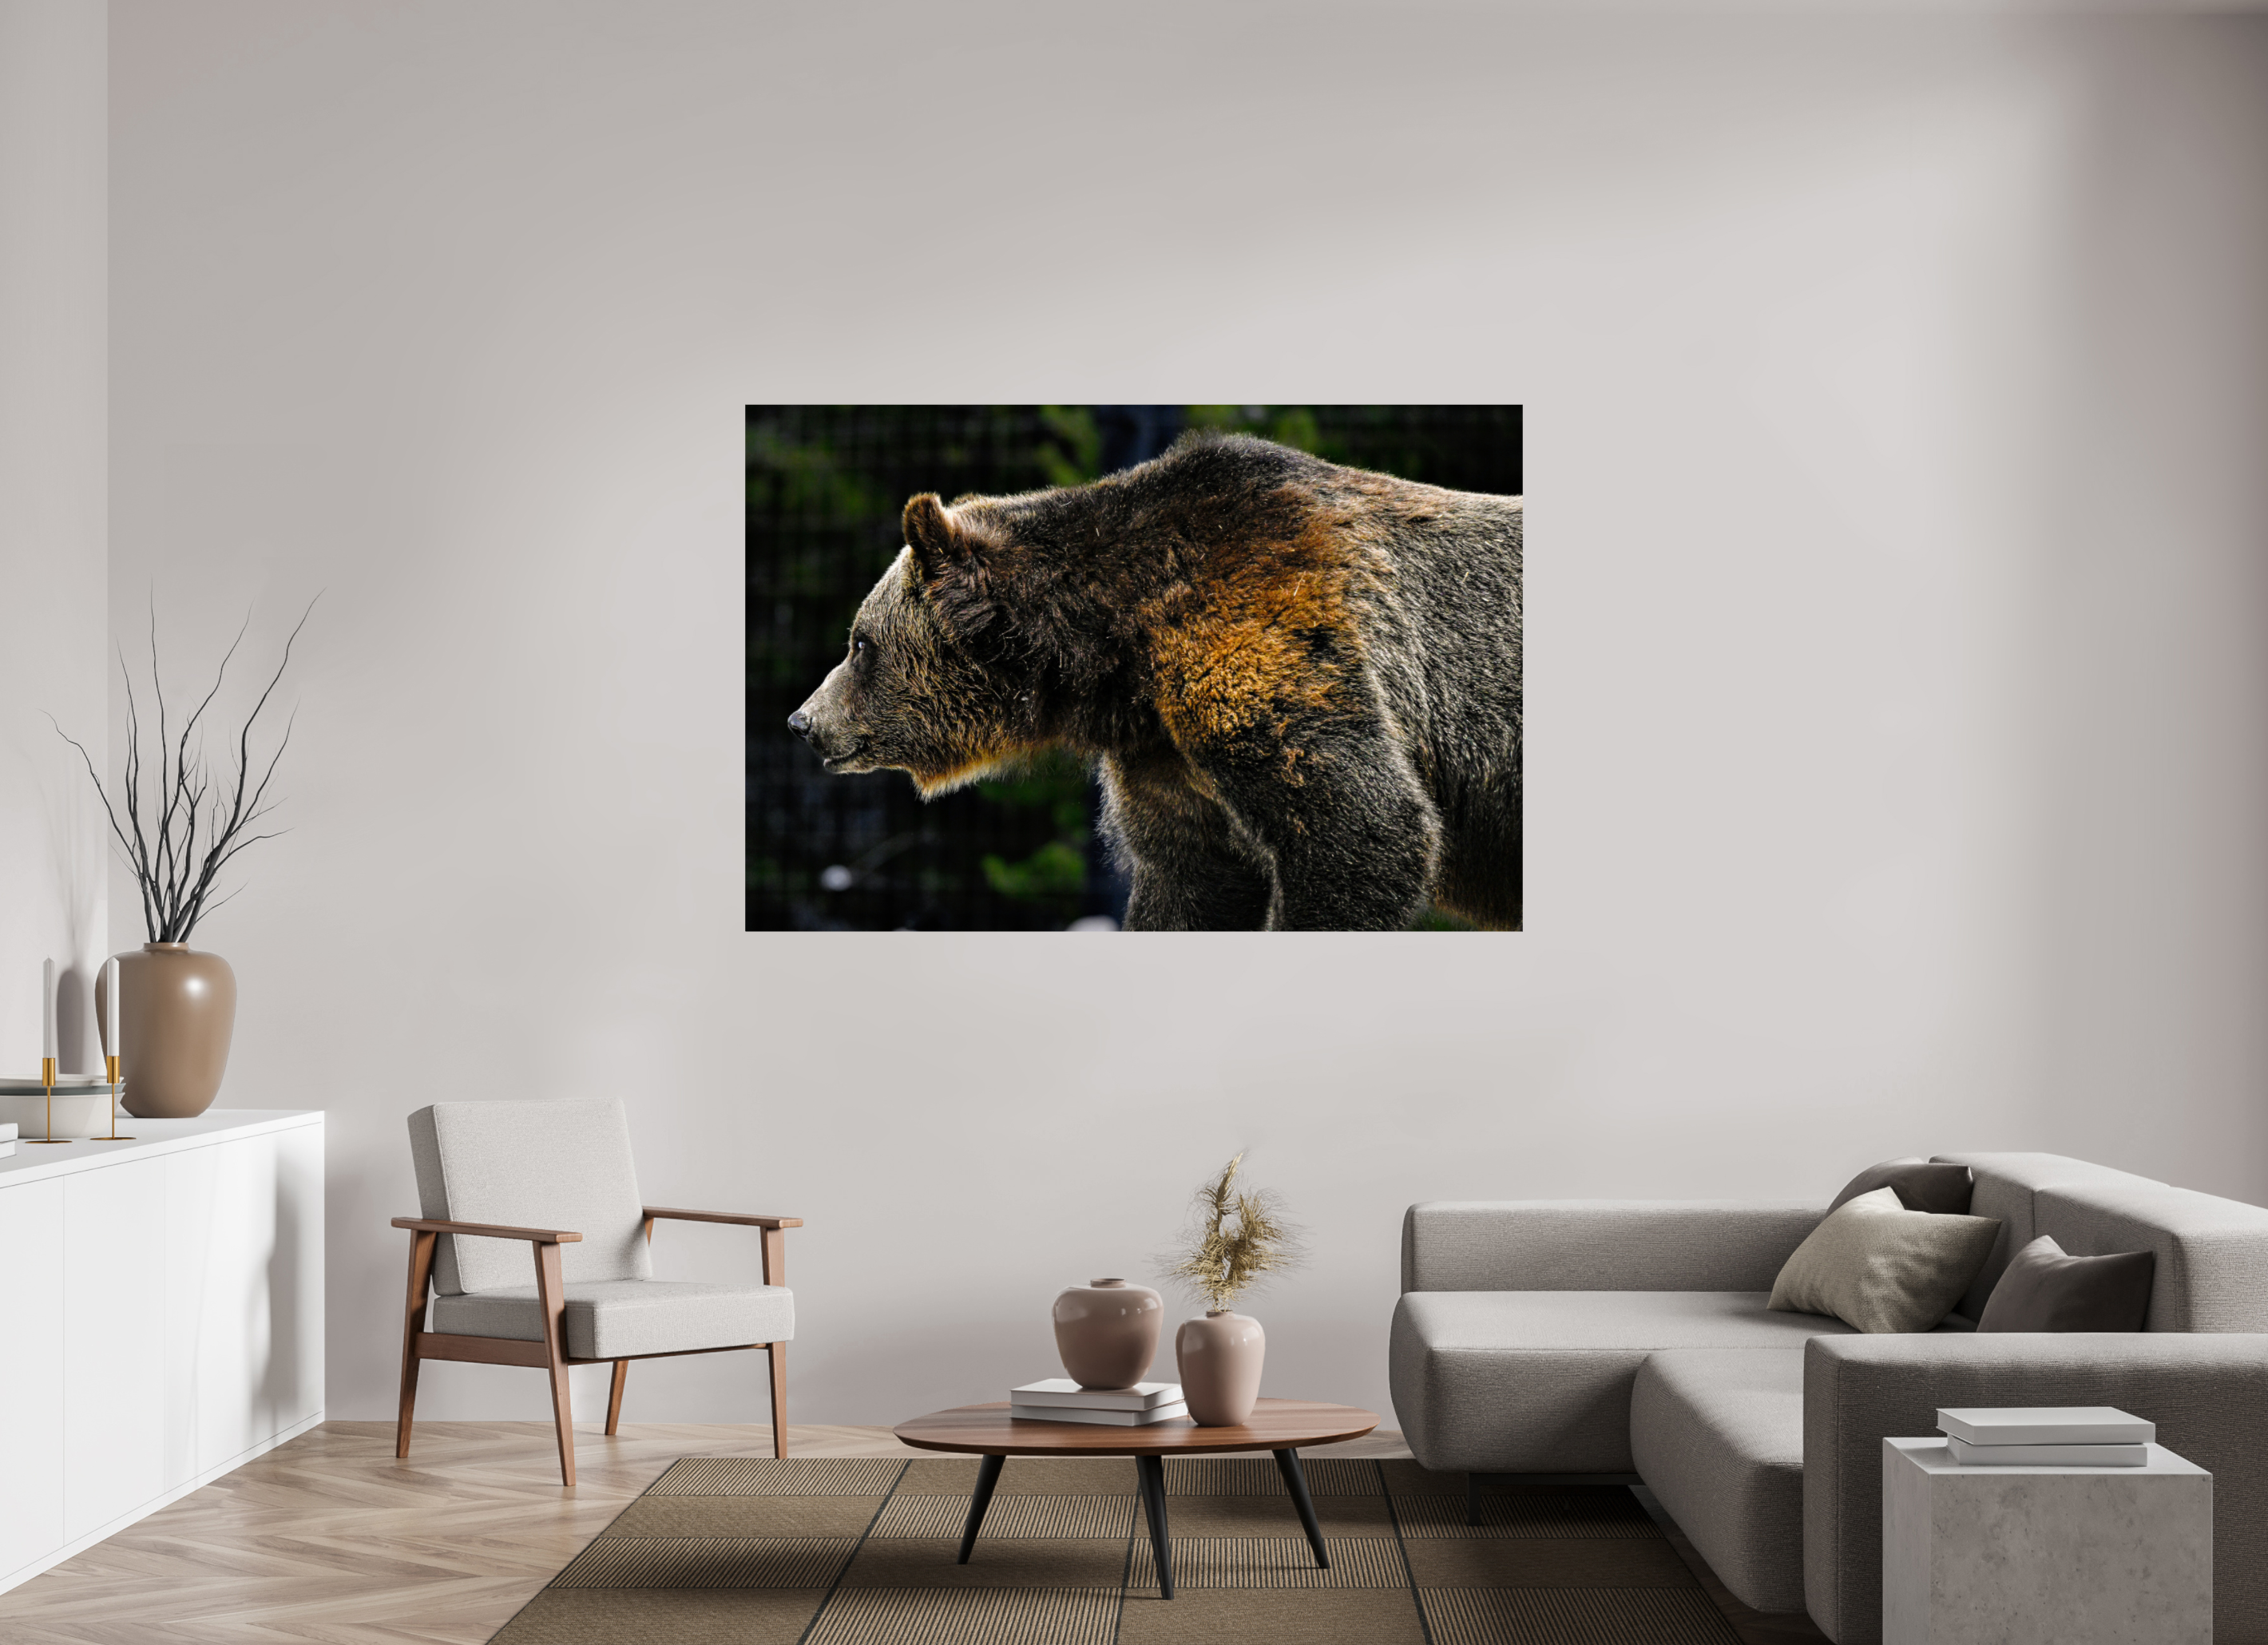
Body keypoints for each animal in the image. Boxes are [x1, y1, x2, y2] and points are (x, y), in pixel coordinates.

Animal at [787, 432, 1521, 931]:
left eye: (860, 643)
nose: (803, 721)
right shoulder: (1164, 754)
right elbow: (1189, 879)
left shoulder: (1261, 644)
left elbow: (1364, 831)